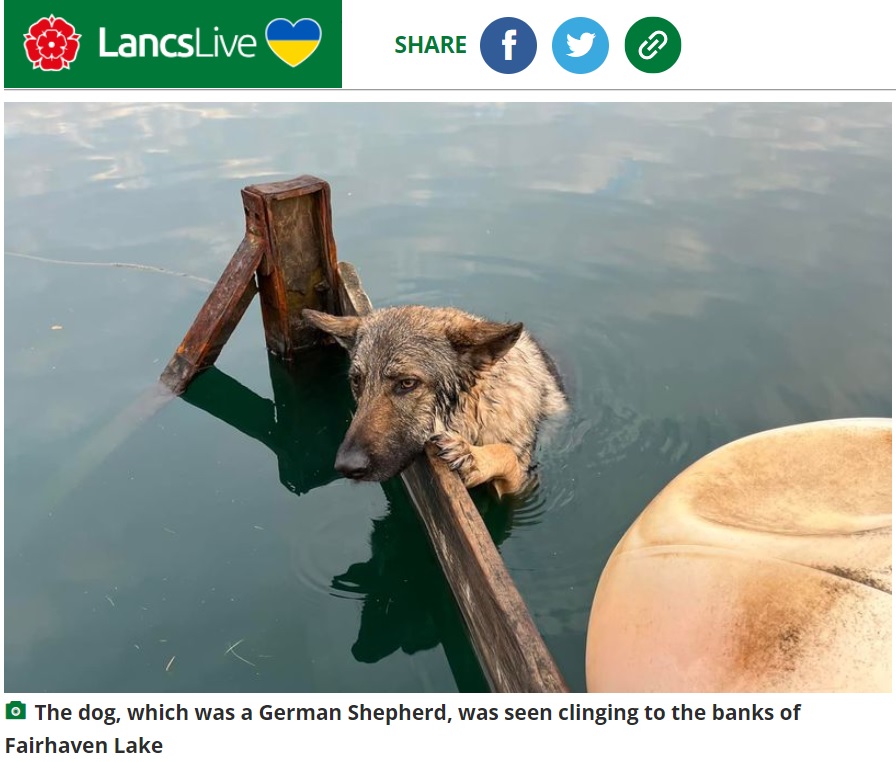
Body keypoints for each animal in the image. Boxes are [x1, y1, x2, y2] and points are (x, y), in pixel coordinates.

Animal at [300, 306, 568, 496]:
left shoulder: (523, 488)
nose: (346, 467)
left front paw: (472, 457)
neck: (476, 409)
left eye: (407, 383)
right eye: (357, 381)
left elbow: (507, 453)